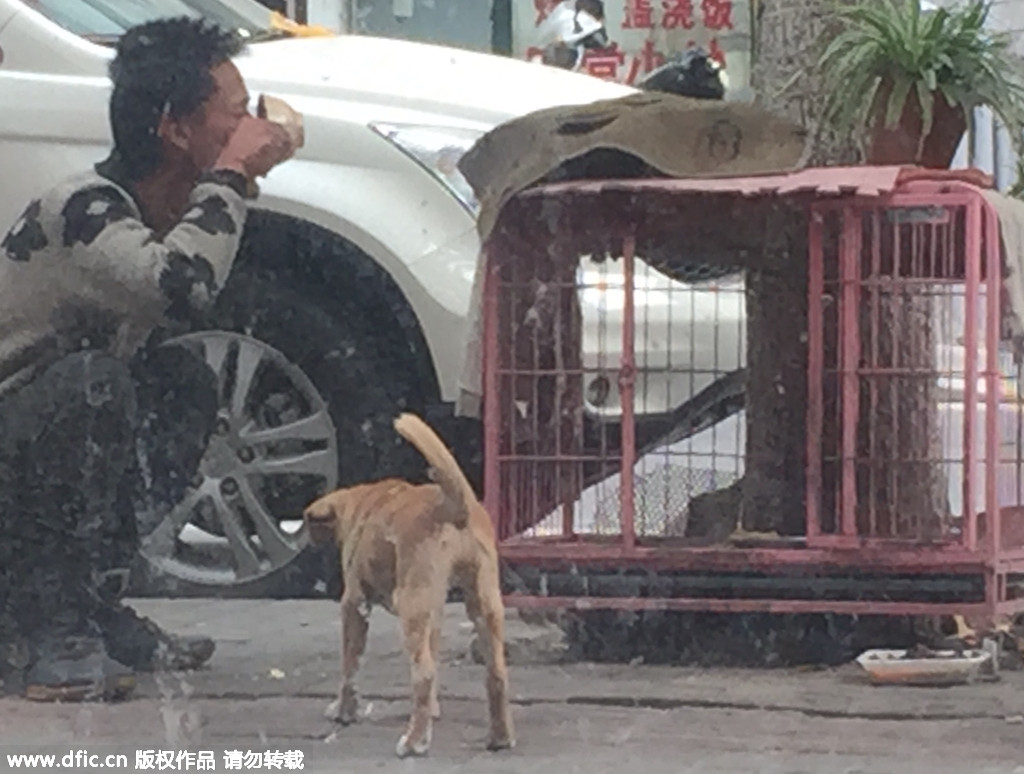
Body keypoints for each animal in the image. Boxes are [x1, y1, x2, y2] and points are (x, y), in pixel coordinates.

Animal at [299, 413, 516, 757]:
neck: (366, 502)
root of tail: (456, 506)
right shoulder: (436, 610)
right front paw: (432, 713)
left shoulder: (354, 603)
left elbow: (350, 665)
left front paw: (344, 711)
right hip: (484, 602)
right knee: (495, 672)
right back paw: (499, 737)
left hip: (412, 606)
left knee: (423, 673)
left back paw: (413, 742)